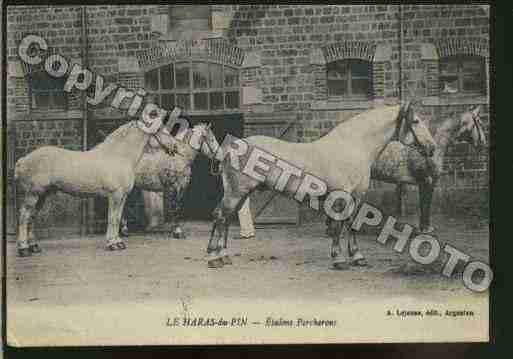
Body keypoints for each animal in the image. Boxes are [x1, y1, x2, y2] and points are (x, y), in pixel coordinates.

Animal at [14, 107, 181, 256]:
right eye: (161, 130)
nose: (175, 147)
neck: (119, 155)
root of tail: (23, 160)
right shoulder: (115, 195)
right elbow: (112, 218)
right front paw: (112, 244)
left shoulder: (122, 197)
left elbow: (117, 217)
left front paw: (118, 242)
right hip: (33, 194)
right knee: (24, 216)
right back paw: (23, 249)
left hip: (43, 195)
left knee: (32, 217)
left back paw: (34, 247)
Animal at [206, 101, 434, 270]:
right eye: (415, 121)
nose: (431, 148)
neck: (353, 146)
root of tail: (230, 148)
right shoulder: (341, 195)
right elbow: (338, 226)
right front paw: (339, 259)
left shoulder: (357, 196)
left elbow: (351, 225)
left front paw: (357, 257)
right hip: (236, 191)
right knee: (220, 216)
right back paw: (214, 258)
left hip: (241, 193)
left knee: (226, 219)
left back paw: (224, 256)